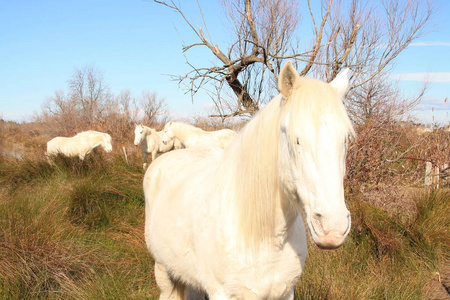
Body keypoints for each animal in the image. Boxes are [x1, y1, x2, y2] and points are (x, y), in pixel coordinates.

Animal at [144, 61, 356, 300]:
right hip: (163, 271)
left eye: (346, 139)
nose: (332, 229)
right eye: (296, 140)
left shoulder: (285, 293)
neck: (265, 238)